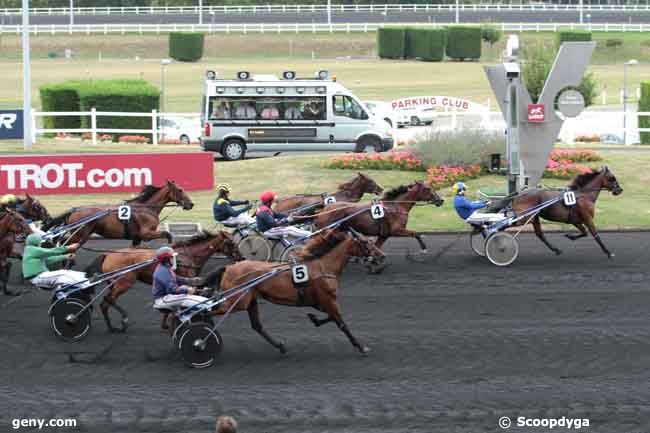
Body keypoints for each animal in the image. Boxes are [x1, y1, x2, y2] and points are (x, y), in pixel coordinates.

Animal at [44, 180, 192, 246]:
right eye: (180, 190)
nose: (191, 204)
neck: (146, 208)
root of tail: (74, 210)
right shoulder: (146, 234)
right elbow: (167, 234)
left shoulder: (137, 238)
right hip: (79, 236)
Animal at [83, 230, 240, 330]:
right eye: (231, 243)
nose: (240, 257)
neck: (187, 256)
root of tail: (108, 254)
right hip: (124, 283)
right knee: (106, 302)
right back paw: (120, 322)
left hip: (114, 284)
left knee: (107, 302)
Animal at [195, 226, 382, 354]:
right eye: (366, 242)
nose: (381, 255)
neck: (324, 266)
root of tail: (229, 267)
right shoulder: (328, 300)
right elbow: (341, 322)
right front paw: (361, 347)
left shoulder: (319, 301)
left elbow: (330, 318)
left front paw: (314, 319)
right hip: (237, 301)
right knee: (209, 311)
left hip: (250, 300)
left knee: (257, 326)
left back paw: (280, 346)